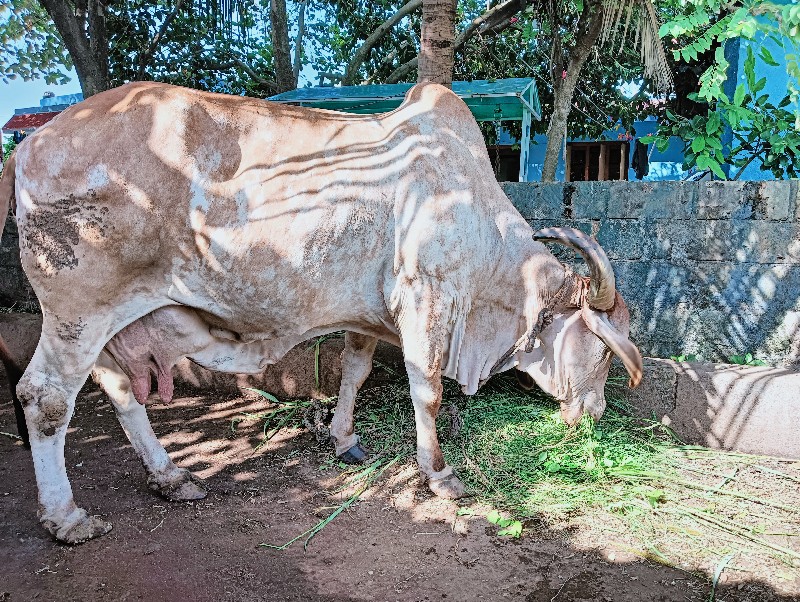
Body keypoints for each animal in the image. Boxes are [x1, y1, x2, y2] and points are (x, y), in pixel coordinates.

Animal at [0, 78, 640, 540]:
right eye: (603, 349)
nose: (594, 412)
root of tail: (31, 143)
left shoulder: (369, 316)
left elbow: (355, 372)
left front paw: (344, 439)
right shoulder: (427, 301)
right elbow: (428, 391)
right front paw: (438, 473)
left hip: (115, 322)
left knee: (118, 390)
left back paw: (171, 477)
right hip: (78, 311)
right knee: (45, 398)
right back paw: (67, 518)